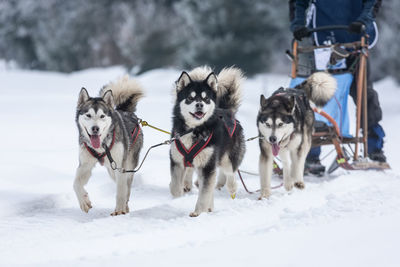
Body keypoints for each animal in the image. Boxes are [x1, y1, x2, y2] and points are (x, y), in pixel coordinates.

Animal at [74, 75, 145, 216]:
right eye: (88, 115)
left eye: (102, 116)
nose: (95, 129)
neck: (102, 145)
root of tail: (126, 111)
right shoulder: (85, 165)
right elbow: (76, 184)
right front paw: (84, 202)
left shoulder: (121, 167)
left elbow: (121, 191)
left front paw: (119, 210)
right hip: (111, 169)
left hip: (126, 166)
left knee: (126, 187)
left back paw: (124, 207)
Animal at [168, 66, 244, 218]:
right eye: (190, 98)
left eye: (206, 98)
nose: (199, 104)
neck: (194, 130)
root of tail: (228, 111)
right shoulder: (177, 161)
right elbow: (175, 186)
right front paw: (178, 194)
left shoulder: (208, 166)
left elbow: (204, 194)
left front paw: (198, 212)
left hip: (226, 159)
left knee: (230, 173)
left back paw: (232, 188)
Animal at [258, 72, 336, 200]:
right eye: (268, 124)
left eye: (280, 124)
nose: (273, 139)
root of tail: (297, 90)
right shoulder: (267, 151)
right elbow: (267, 173)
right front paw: (264, 195)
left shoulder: (298, 147)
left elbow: (297, 163)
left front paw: (295, 181)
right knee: (287, 160)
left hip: (306, 141)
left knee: (300, 160)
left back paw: (297, 180)